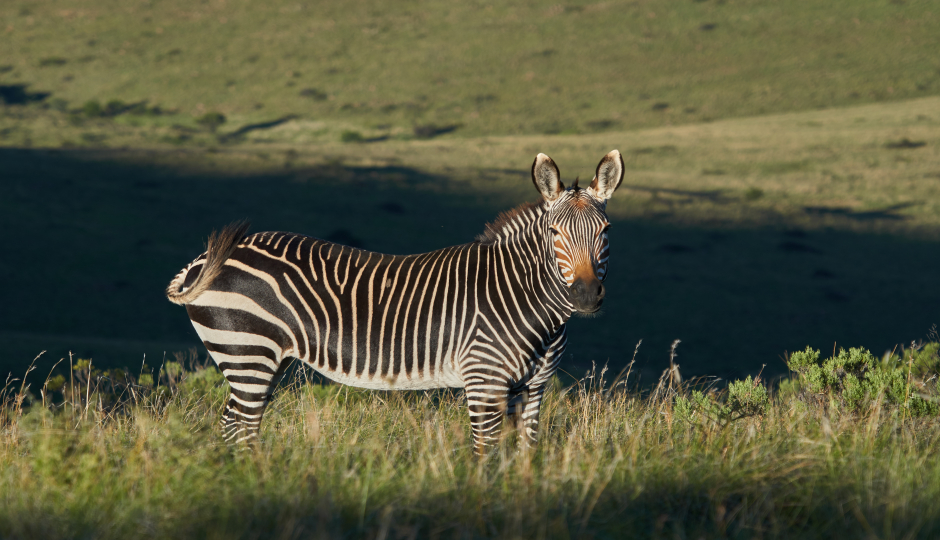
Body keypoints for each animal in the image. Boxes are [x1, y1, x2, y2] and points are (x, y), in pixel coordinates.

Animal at [167, 150, 624, 454]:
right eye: (554, 234)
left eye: (605, 231)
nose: (585, 295)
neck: (525, 299)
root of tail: (207, 257)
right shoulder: (484, 379)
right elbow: (486, 453)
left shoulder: (532, 387)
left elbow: (525, 453)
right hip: (247, 351)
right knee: (241, 425)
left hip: (263, 359)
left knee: (235, 422)